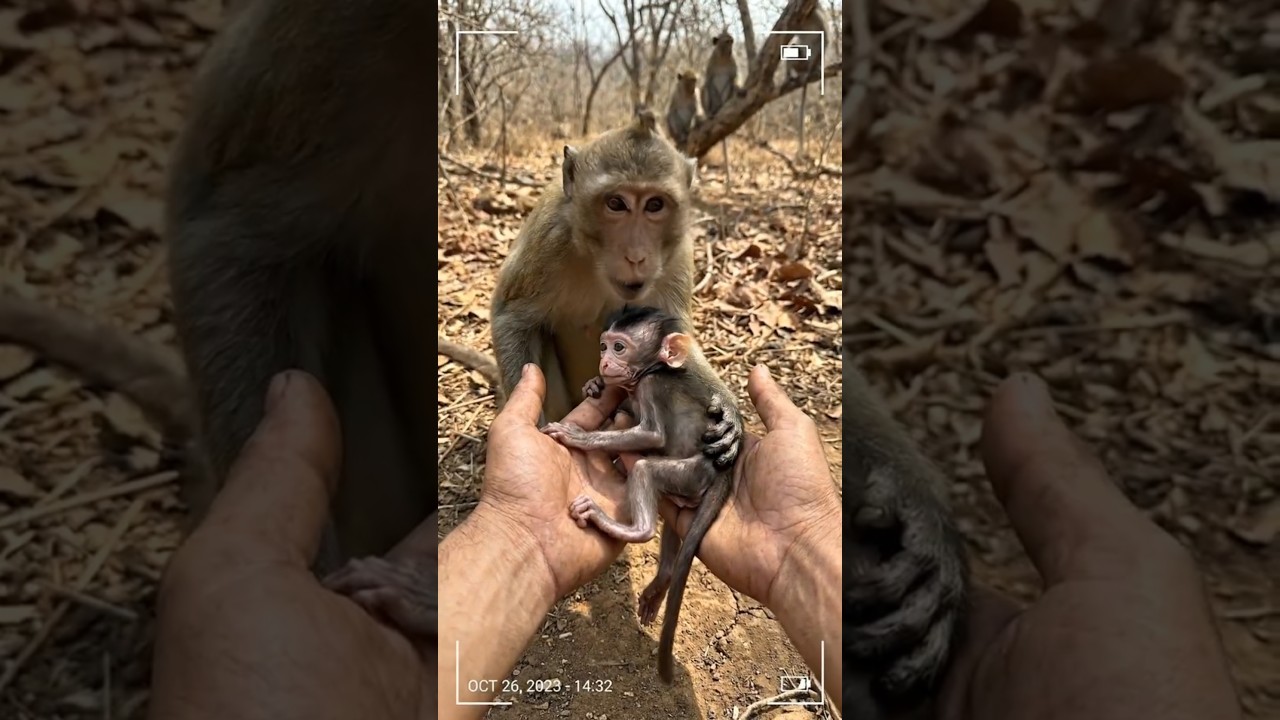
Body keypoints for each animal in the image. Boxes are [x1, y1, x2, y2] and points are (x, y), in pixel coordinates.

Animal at [539, 305, 743, 684]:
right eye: (603, 346)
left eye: (619, 348)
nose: (604, 362)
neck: (653, 370)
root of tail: (723, 471)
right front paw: (595, 385)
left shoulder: (651, 387)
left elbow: (652, 435)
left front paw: (578, 437)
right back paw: (662, 580)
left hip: (691, 475)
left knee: (646, 472)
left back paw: (626, 526)